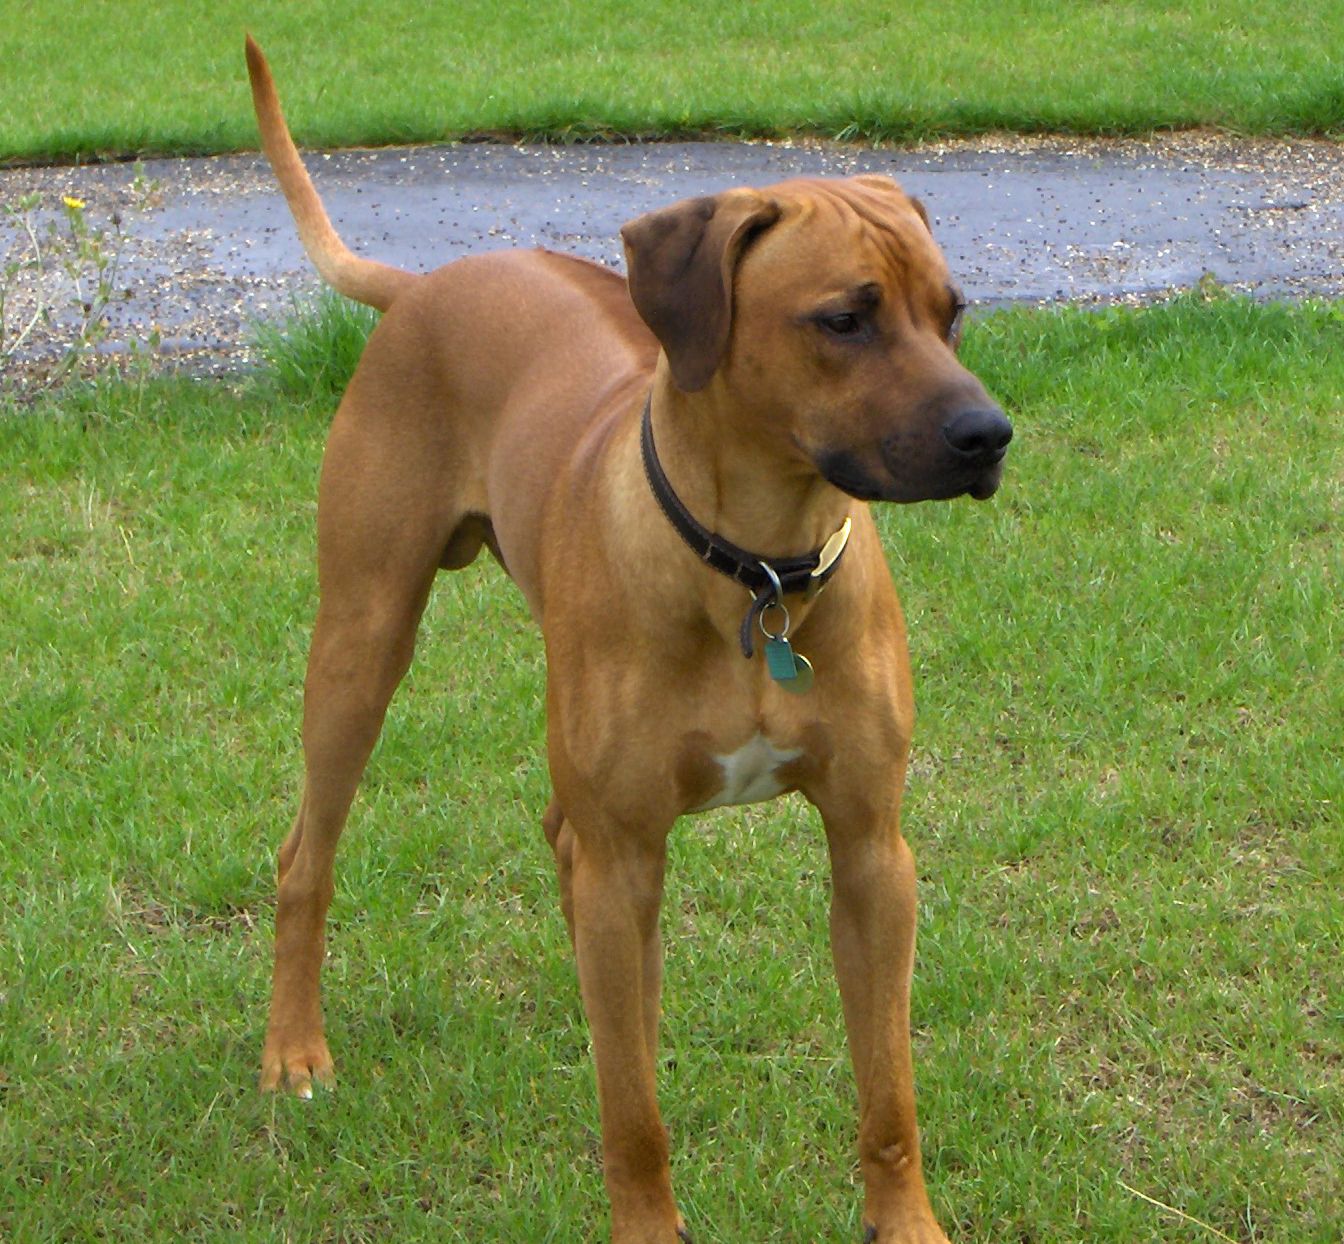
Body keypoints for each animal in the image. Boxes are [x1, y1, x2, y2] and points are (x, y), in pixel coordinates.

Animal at [249, 34, 1010, 1241]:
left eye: (953, 309)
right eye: (844, 318)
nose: (989, 435)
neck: (758, 572)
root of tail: (427, 283)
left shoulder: (872, 850)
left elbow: (888, 1089)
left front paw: (907, 1223)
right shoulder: (625, 856)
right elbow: (635, 1118)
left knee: (565, 848)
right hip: (363, 637)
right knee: (307, 855)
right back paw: (294, 1048)